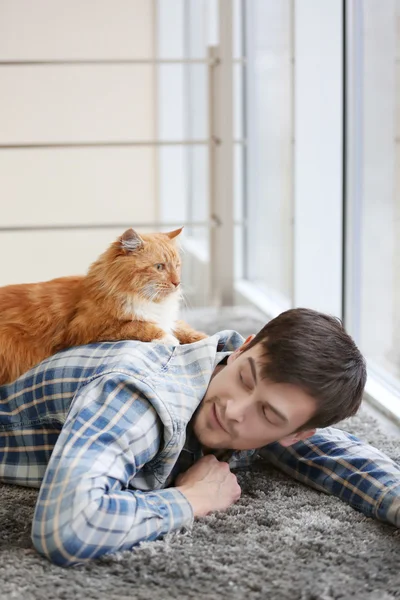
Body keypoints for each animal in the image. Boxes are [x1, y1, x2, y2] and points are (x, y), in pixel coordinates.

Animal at [0, 227, 206, 386]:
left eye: (177, 266)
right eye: (159, 267)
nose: (177, 283)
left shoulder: (167, 319)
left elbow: (184, 329)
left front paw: (203, 338)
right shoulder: (88, 328)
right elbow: (139, 326)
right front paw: (168, 339)